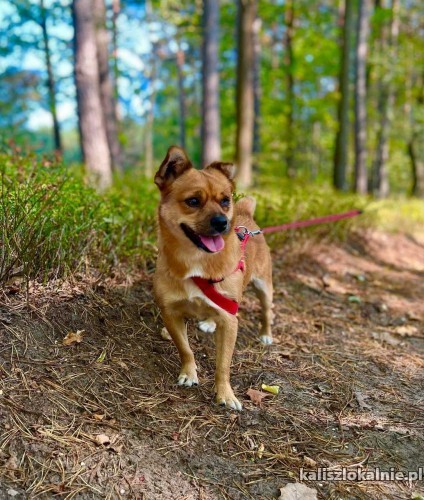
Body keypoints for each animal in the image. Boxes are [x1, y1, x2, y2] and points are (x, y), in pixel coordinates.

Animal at [153, 146, 274, 410]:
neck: (197, 262)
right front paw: (189, 373)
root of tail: (246, 216)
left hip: (264, 288)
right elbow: (185, 349)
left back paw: (266, 334)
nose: (222, 222)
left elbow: (223, 365)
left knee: (266, 312)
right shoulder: (171, 313)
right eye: (193, 201)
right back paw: (208, 321)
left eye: (225, 200)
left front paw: (225, 394)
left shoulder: (230, 323)